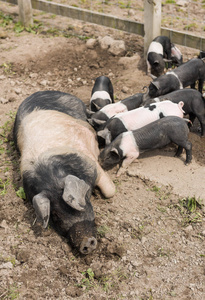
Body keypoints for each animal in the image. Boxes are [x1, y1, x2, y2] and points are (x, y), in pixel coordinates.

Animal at [13, 90, 115, 254]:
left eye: (76, 205)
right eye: (55, 216)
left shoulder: (92, 163)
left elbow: (110, 191)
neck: (52, 180)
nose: (85, 243)